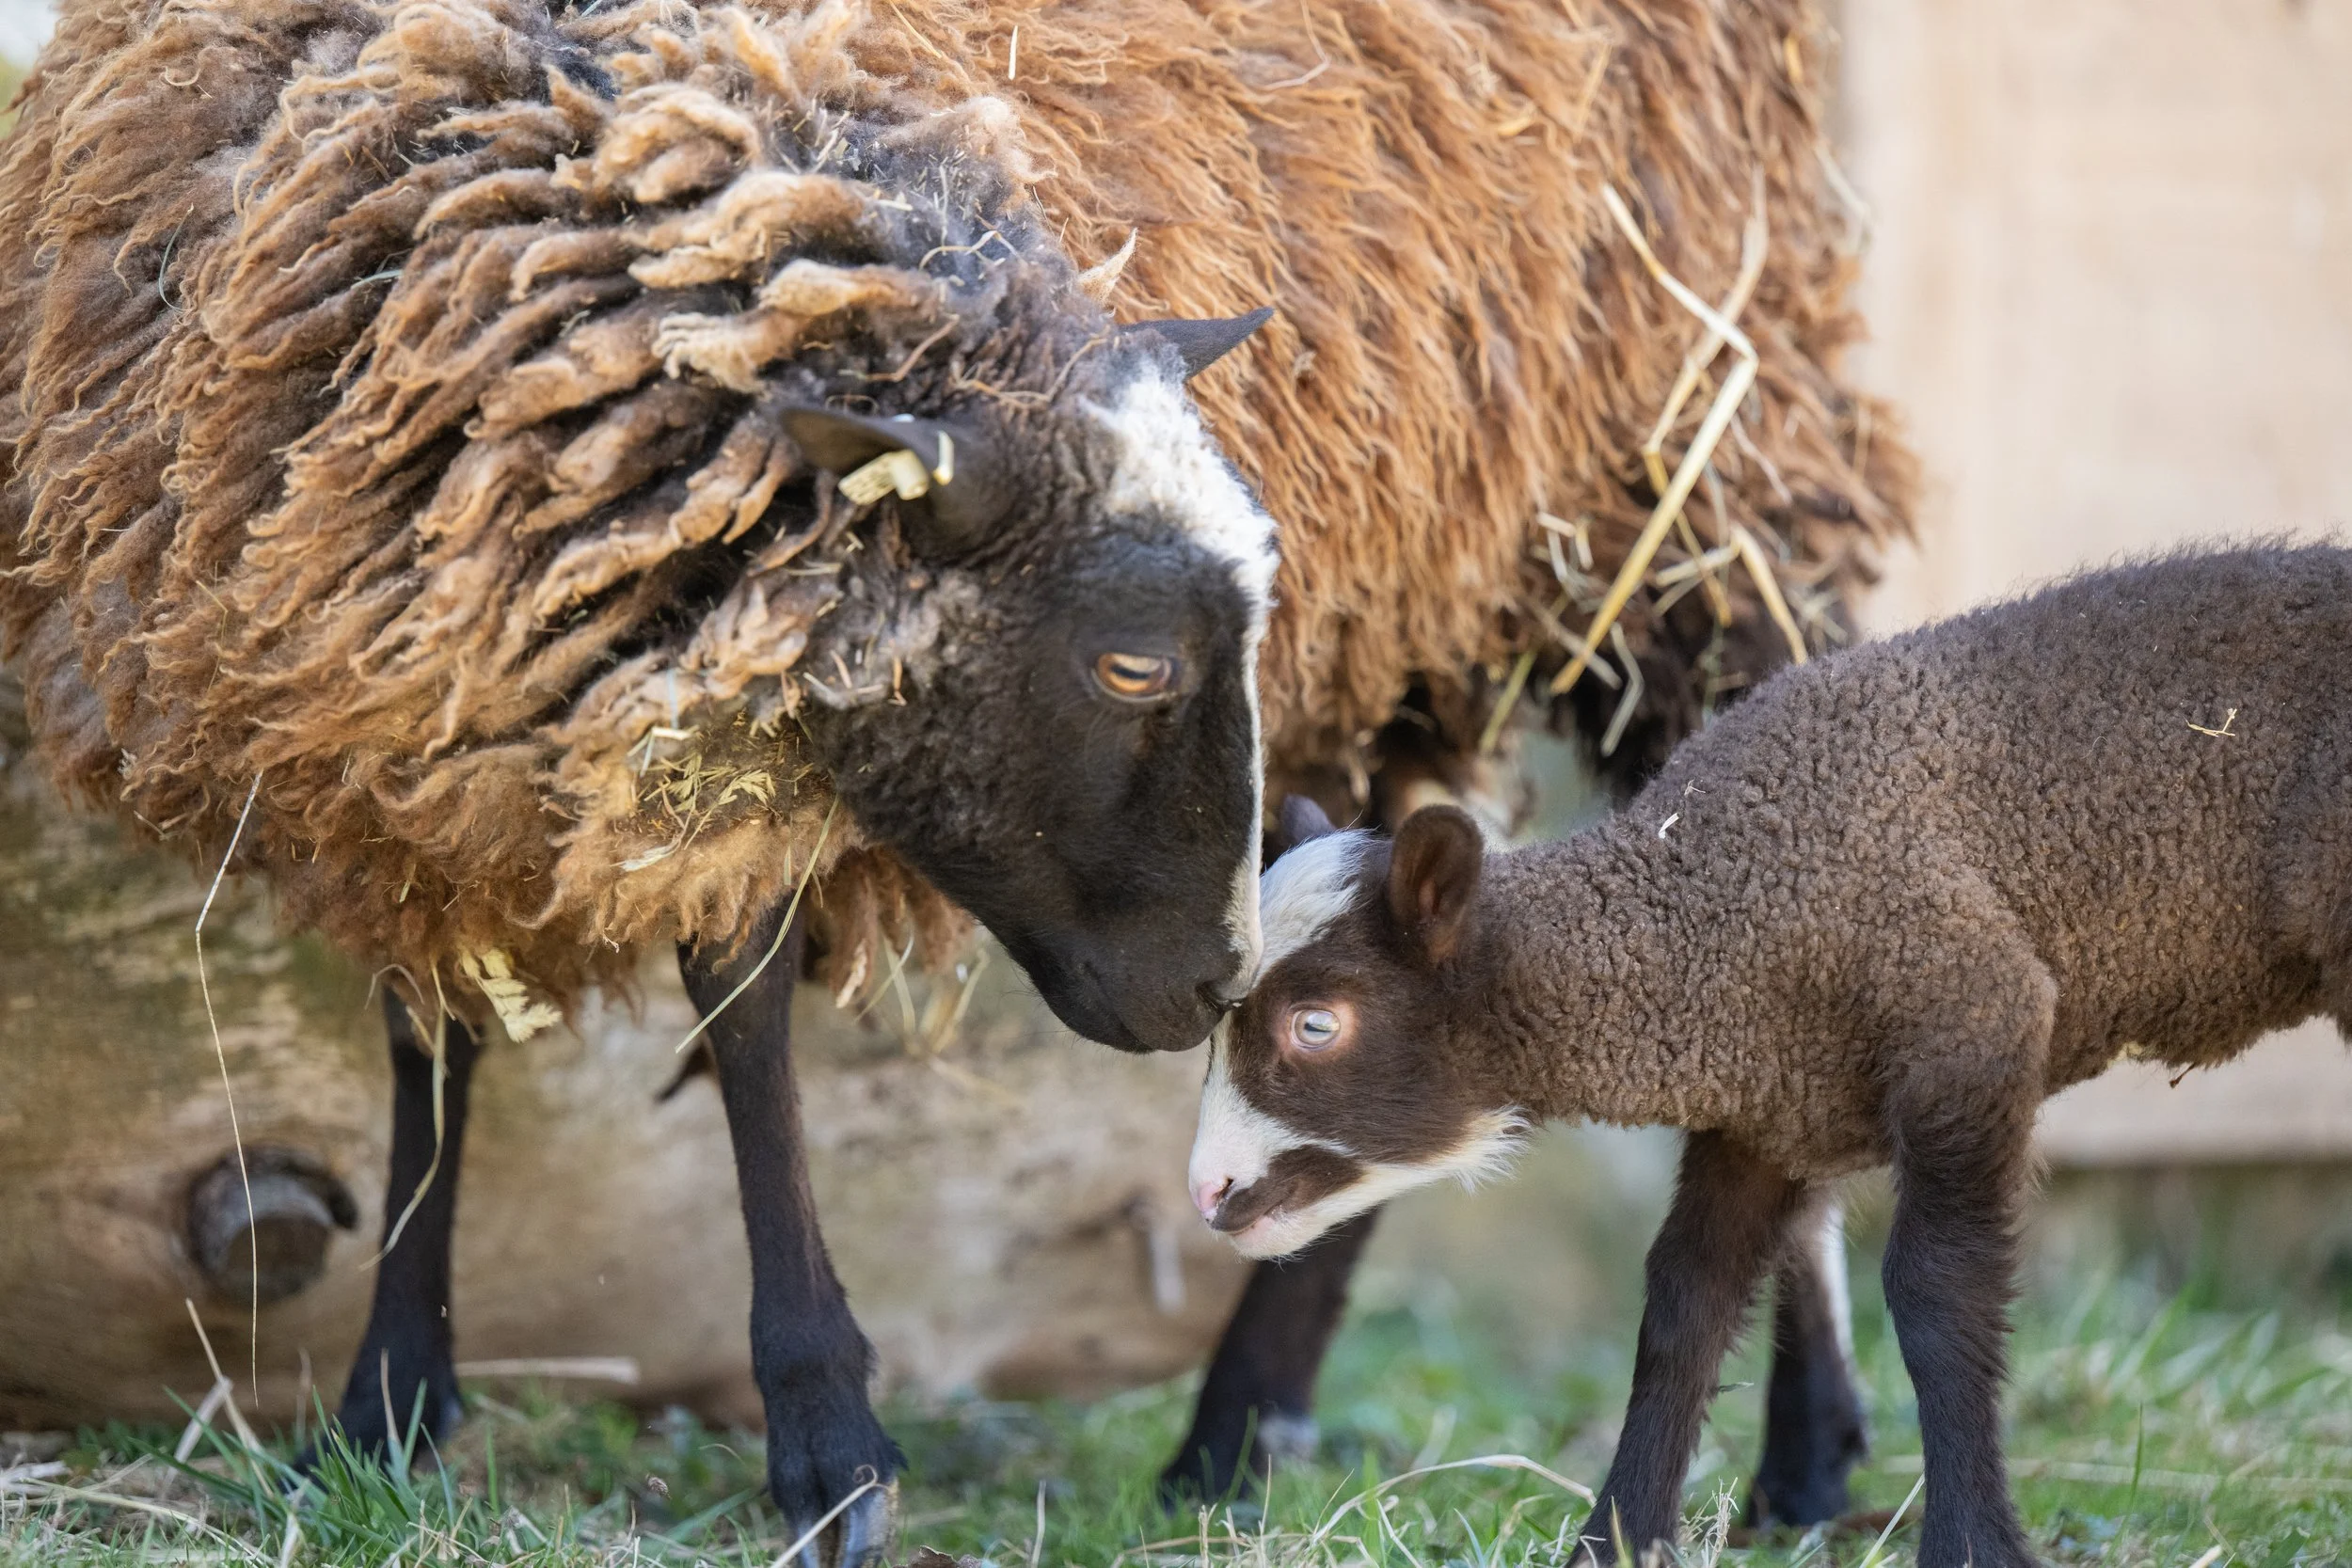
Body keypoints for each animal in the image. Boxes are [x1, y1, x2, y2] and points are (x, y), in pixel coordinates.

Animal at [0, 0, 1906, 1557]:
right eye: (1132, 661)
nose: (1212, 987)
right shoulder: (401, 717)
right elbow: (429, 1043)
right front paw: (389, 1406)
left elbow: (744, 1028)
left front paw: (829, 1447)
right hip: (1444, 568)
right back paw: (1239, 1433)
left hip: (1692, 464)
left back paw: (1811, 1452)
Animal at [1186, 544, 2352, 1567]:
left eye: (1316, 1023)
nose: (1207, 1191)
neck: (1708, 903)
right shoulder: (1763, 1115)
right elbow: (1680, 1309)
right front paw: (1616, 1536)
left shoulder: (1972, 1018)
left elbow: (1937, 1296)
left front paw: (1971, 1539)